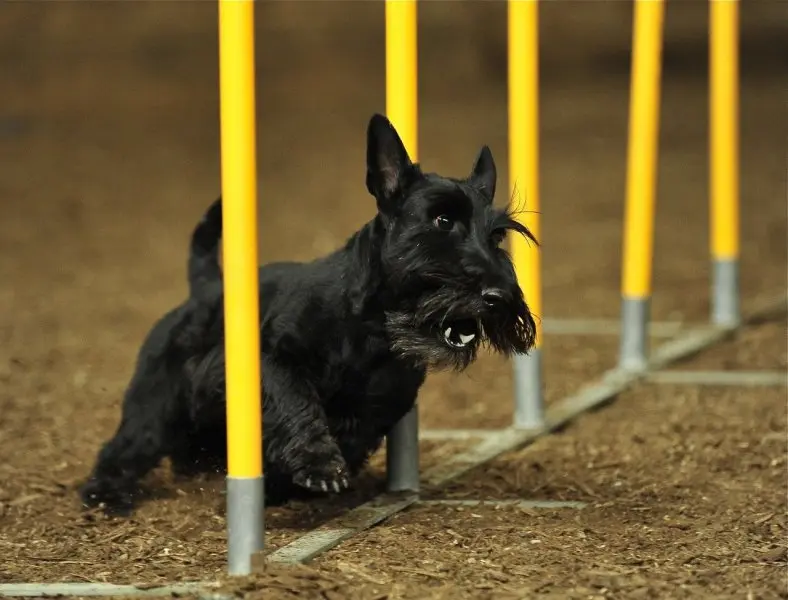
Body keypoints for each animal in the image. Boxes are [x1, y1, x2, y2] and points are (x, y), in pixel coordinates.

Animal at [78, 113, 536, 516]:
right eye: (442, 219)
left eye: (496, 235)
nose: (499, 297)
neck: (372, 327)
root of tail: (206, 286)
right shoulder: (271, 360)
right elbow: (296, 400)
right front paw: (317, 466)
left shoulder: (382, 403)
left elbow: (350, 433)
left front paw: (285, 482)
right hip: (156, 400)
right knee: (128, 445)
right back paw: (106, 494)